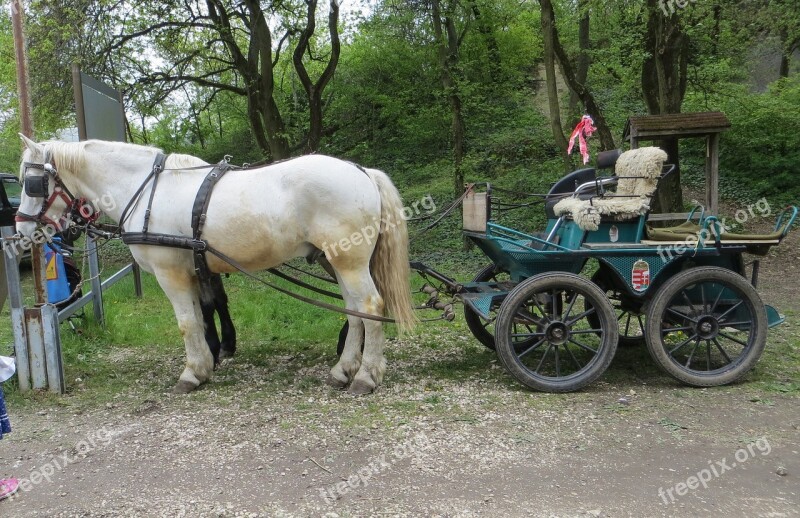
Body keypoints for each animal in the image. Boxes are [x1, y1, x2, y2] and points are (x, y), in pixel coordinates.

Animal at [15, 136, 416, 396]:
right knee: (353, 310)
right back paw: (344, 369)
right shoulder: (194, 268)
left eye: (32, 183)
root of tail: (361, 171)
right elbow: (203, 313)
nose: (20, 229)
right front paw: (208, 360)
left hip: (349, 261)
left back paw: (366, 376)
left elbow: (187, 322)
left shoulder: (171, 273)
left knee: (370, 308)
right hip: (339, 259)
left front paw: (192, 373)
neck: (146, 191)